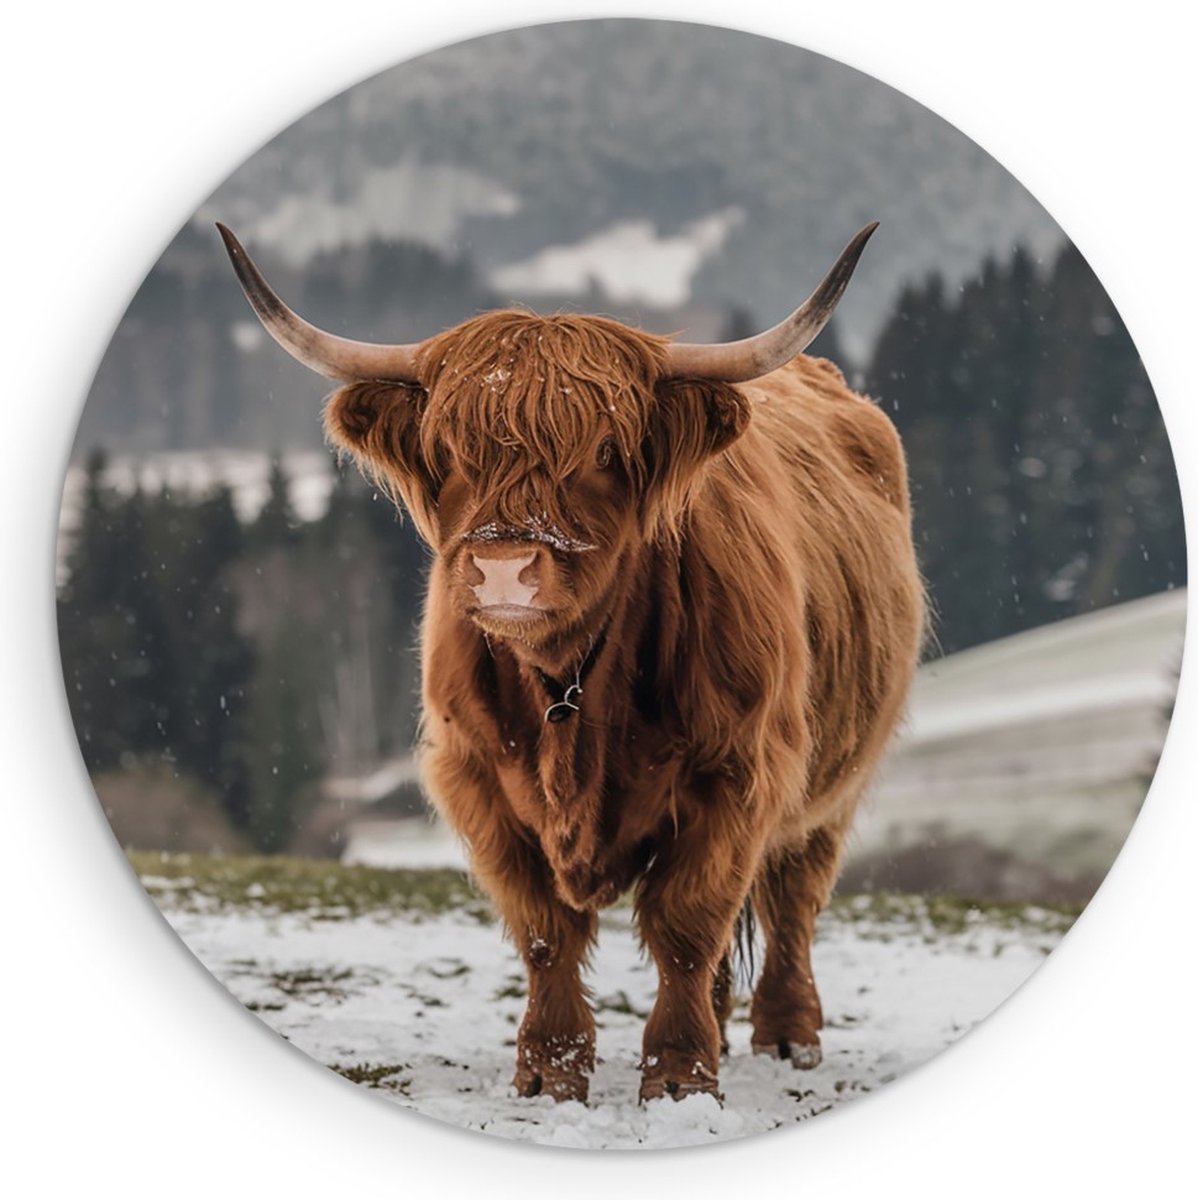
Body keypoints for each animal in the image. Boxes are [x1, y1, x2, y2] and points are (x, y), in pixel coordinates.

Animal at [219, 221, 924, 1104]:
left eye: (606, 450)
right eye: (448, 449)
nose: (504, 569)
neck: (573, 684)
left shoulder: (734, 771)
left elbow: (686, 924)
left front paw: (680, 1078)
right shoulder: (478, 777)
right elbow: (546, 931)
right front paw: (550, 1073)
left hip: (832, 784)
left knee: (793, 895)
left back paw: (787, 1037)